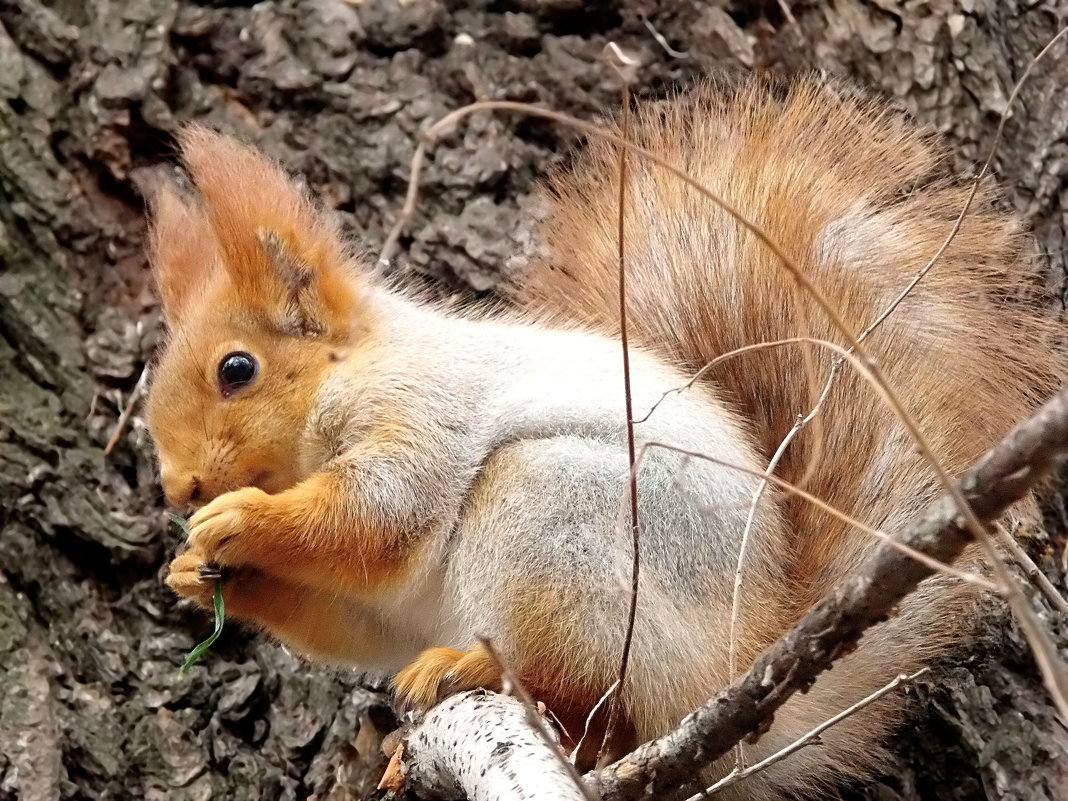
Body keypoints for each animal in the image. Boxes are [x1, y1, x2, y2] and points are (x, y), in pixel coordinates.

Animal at [144, 73, 1059, 798]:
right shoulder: (376, 600)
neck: (350, 367)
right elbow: (351, 619)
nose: (178, 487)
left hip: (558, 523)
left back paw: (475, 668)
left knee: (592, 702)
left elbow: (376, 513)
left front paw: (244, 520)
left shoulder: (422, 412)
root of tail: (740, 659)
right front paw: (198, 573)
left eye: (236, 369)